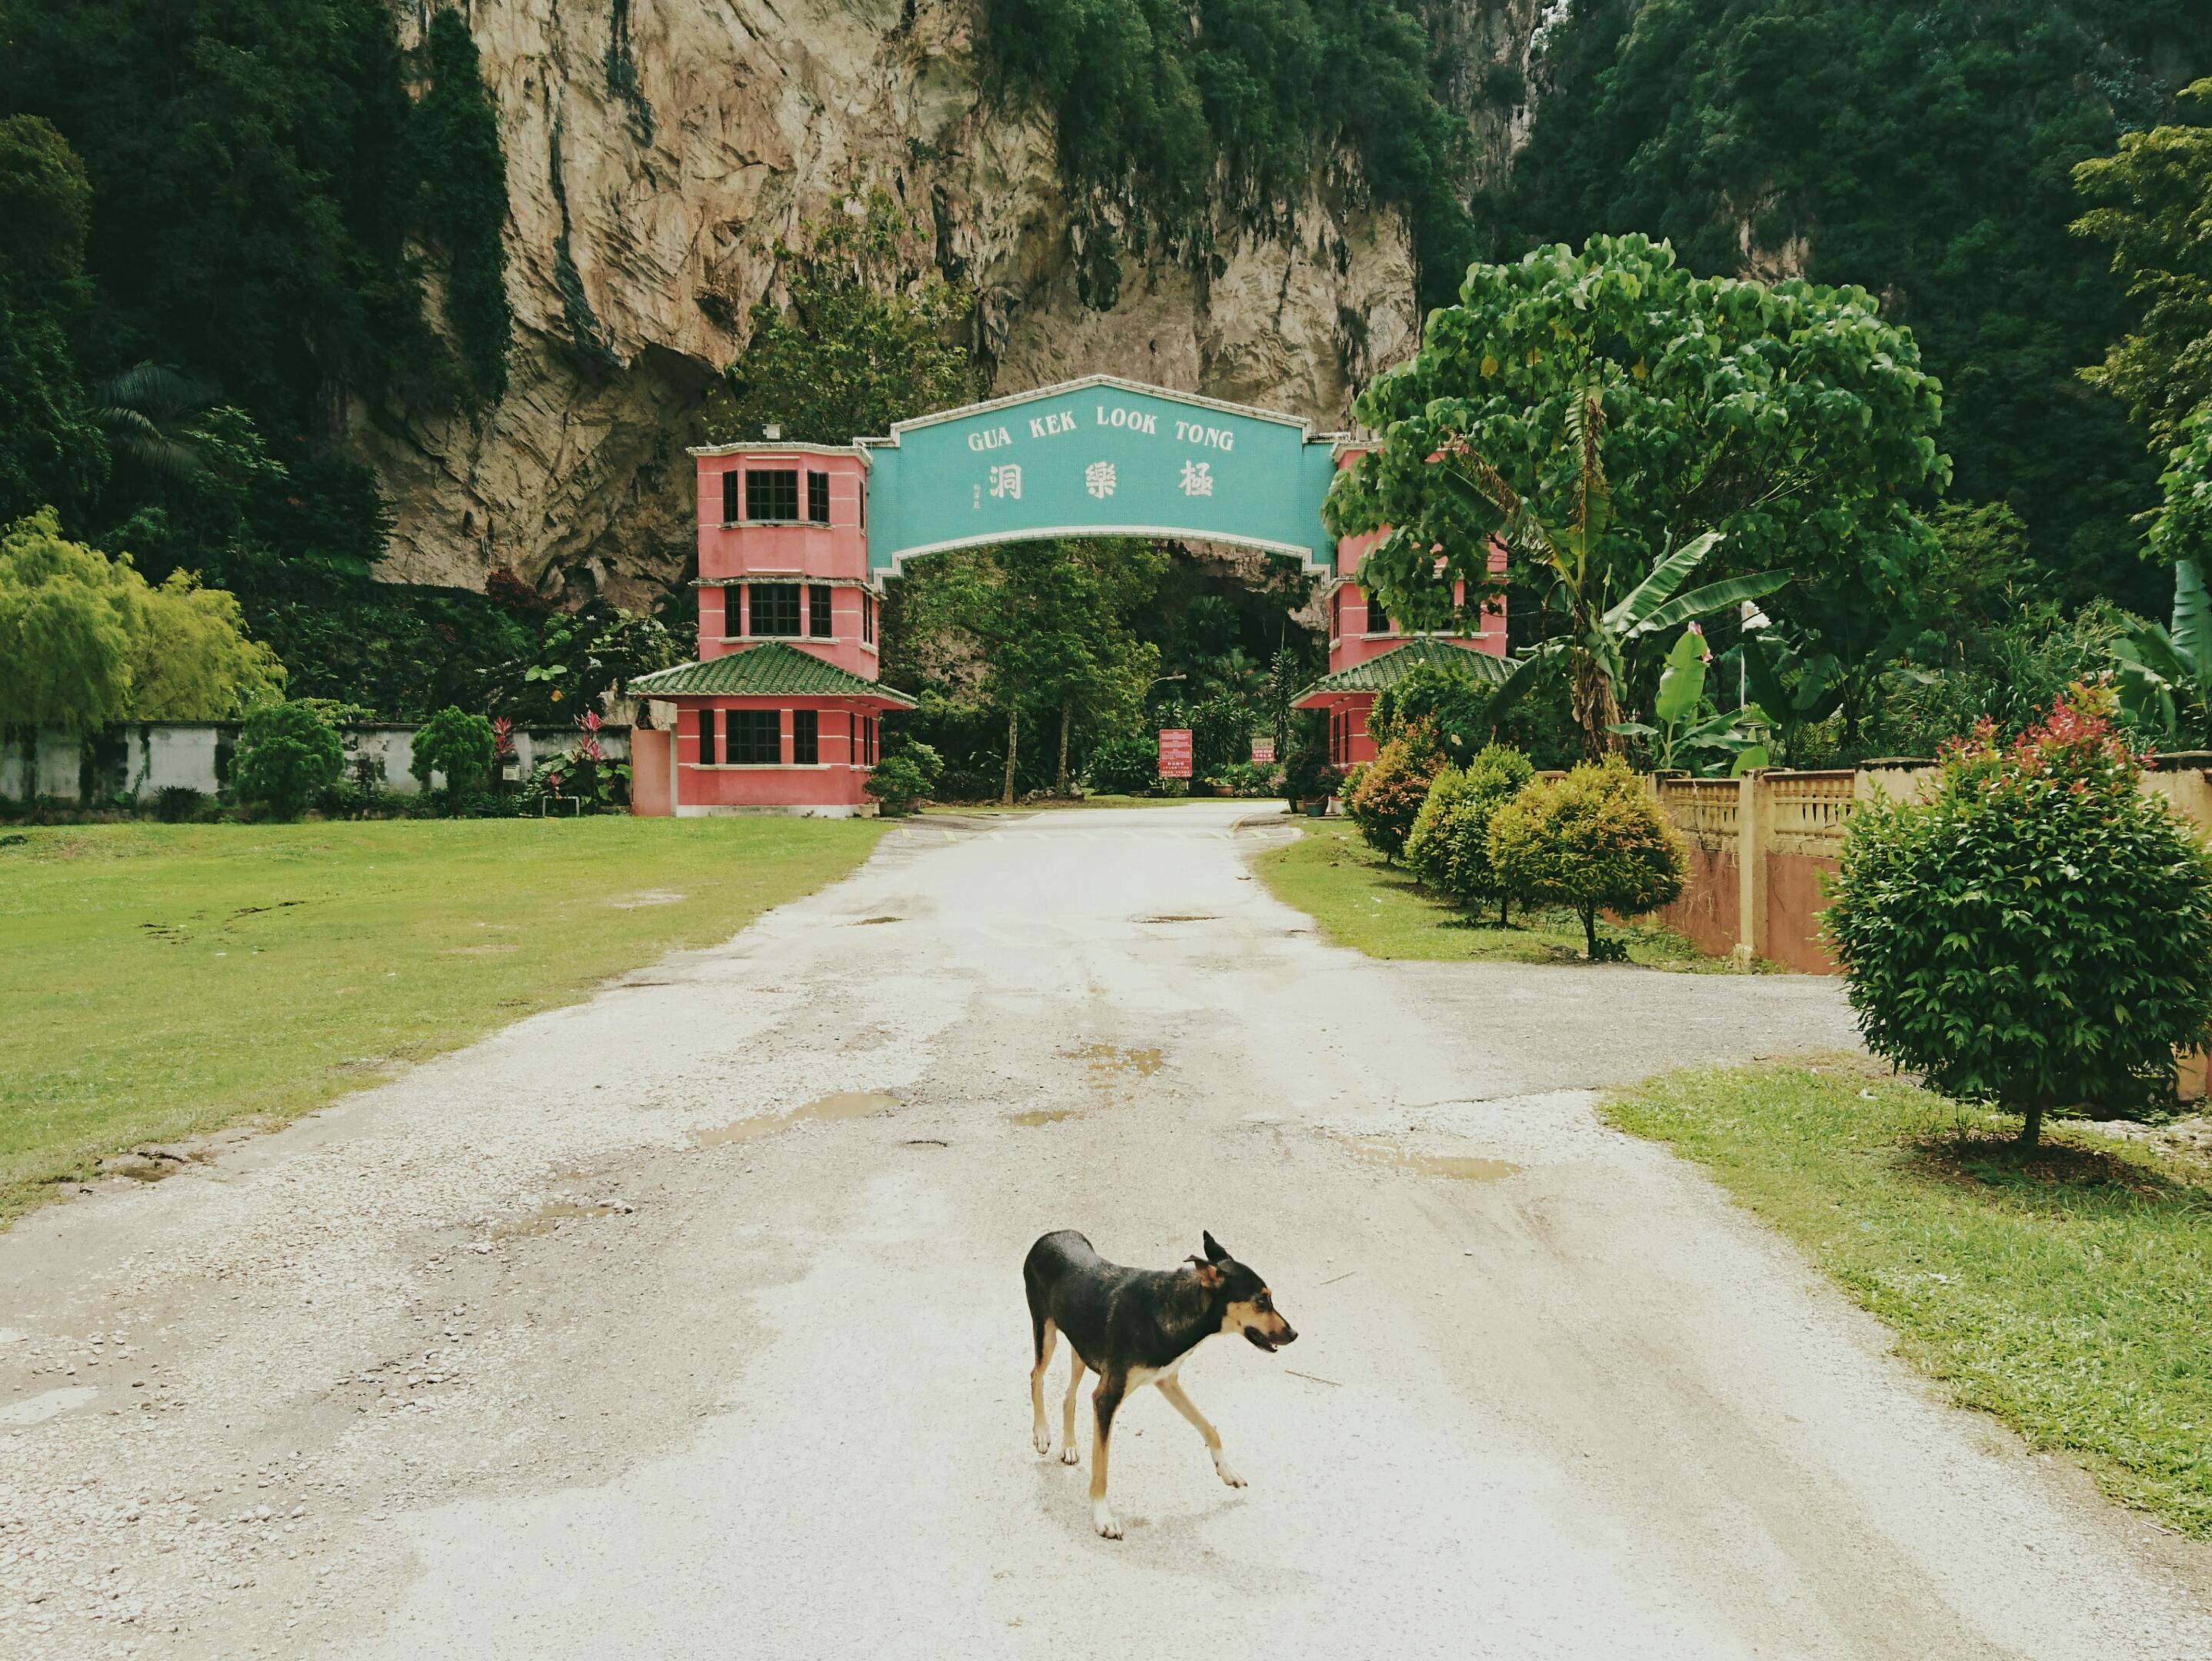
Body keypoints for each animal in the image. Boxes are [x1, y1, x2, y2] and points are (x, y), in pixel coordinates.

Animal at [1021, 1230, 1291, 1539]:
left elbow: (1210, 1428)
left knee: (1069, 1394)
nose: (1294, 1333)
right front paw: (1103, 1518)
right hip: (1046, 1333)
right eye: (1261, 1301)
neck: (1178, 1305)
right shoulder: (1107, 1397)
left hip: (1081, 1347)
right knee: (1036, 1376)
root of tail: (1052, 1235)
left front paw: (1227, 1470)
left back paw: (1069, 1446)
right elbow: (1101, 1468)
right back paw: (1042, 1433)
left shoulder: (1167, 1381)